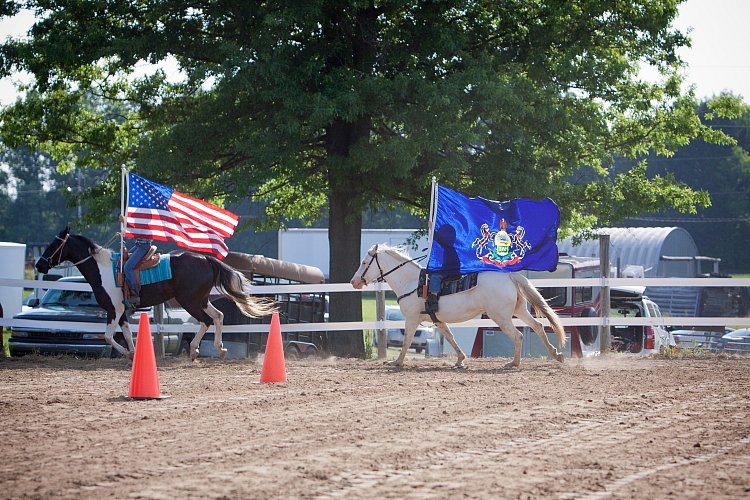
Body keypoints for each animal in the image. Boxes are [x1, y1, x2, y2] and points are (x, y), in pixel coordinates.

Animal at [34, 227, 276, 360]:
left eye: (54, 244)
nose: (39, 265)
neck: (102, 269)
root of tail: (205, 258)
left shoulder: (114, 309)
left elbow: (109, 336)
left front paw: (126, 353)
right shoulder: (122, 312)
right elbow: (127, 334)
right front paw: (133, 354)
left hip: (189, 301)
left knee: (207, 320)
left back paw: (195, 351)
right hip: (202, 299)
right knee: (218, 316)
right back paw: (220, 349)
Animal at [350, 244, 568, 370]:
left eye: (364, 262)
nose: (354, 282)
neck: (411, 282)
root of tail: (509, 275)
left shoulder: (412, 319)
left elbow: (406, 343)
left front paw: (396, 362)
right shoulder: (438, 320)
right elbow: (450, 338)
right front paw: (460, 360)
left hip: (501, 317)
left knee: (519, 336)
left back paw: (514, 363)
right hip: (518, 310)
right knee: (537, 326)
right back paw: (556, 355)